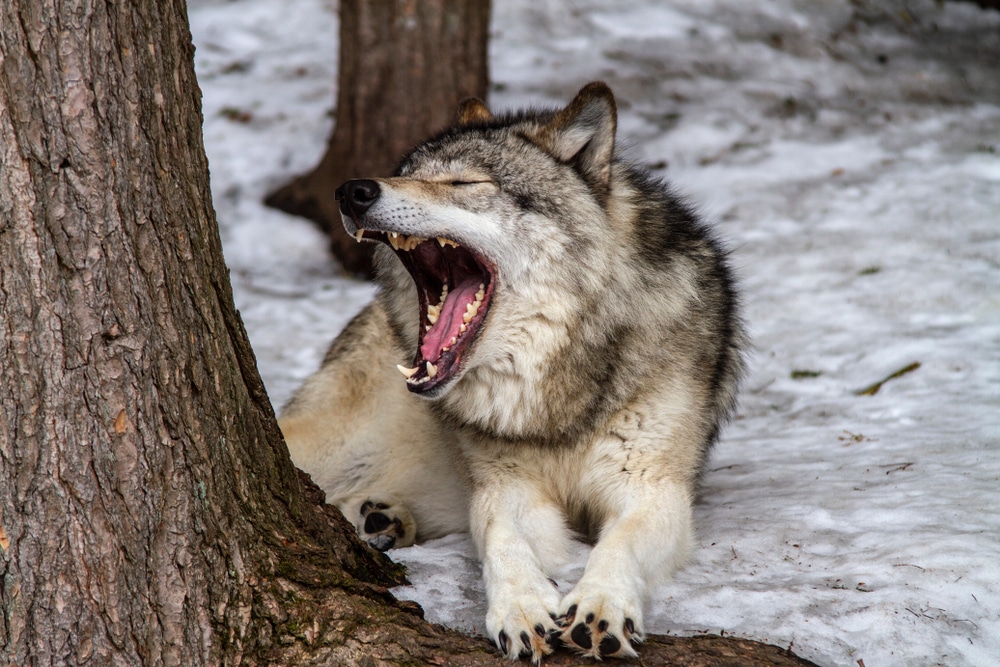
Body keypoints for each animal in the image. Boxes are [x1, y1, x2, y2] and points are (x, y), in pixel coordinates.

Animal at [278, 83, 748, 664]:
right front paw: (521, 609)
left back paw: (381, 518)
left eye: (465, 183)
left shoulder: (652, 489)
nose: (353, 191)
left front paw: (601, 605)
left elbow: (619, 544)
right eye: (406, 173)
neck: (554, 391)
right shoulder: (505, 487)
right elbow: (501, 538)